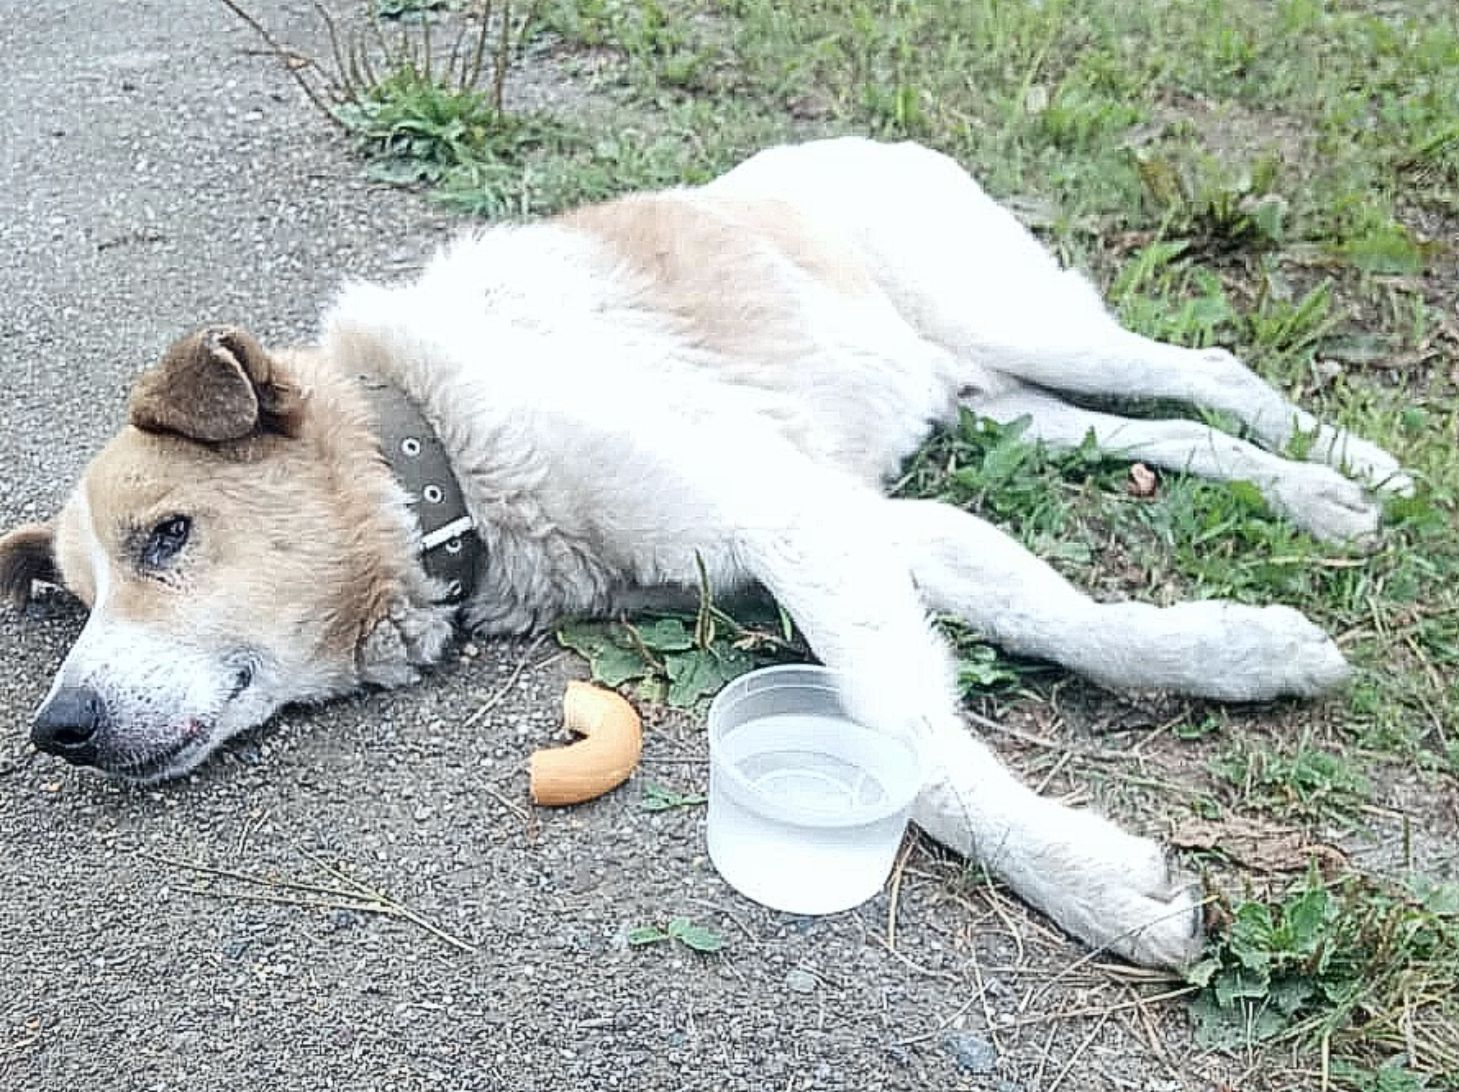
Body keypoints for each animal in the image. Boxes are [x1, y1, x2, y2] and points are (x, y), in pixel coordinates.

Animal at [2, 136, 1412, 963]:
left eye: (169, 535)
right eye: (78, 596)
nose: (57, 731)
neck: (437, 452)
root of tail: (863, 137)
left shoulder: (796, 521)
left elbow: (925, 758)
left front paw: (1087, 881)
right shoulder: (854, 521)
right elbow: (1068, 620)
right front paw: (1234, 651)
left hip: (1025, 324)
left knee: (1203, 368)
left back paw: (1352, 467)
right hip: (990, 397)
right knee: (1158, 429)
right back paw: (1315, 496)